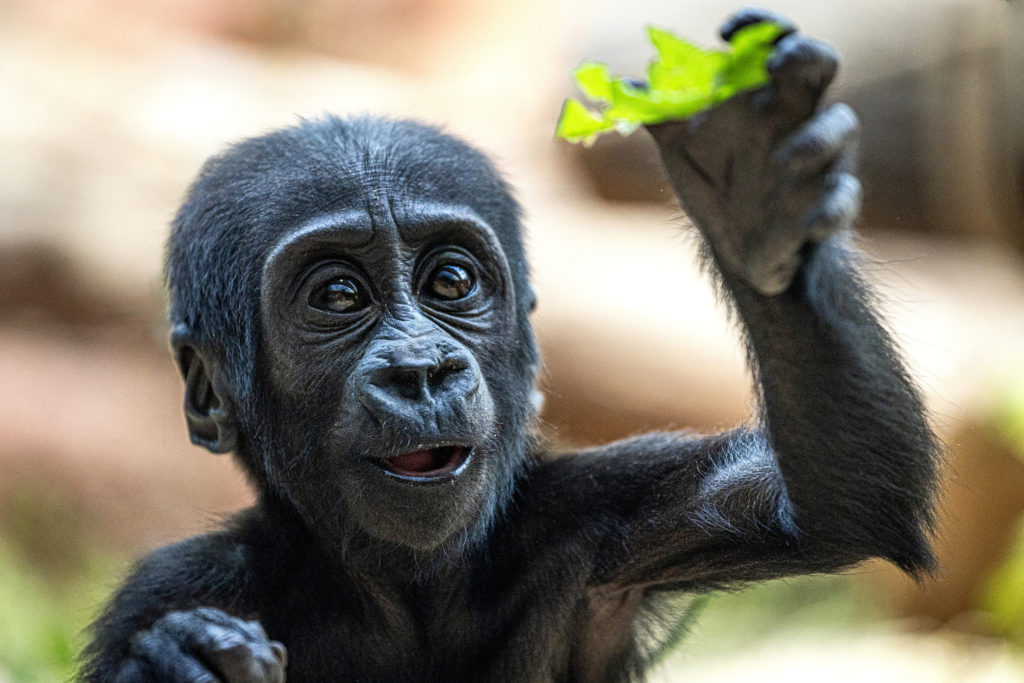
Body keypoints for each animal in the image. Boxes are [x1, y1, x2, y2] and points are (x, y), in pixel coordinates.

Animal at [83, 9, 937, 683]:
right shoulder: (170, 586)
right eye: (338, 296)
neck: (408, 594)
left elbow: (832, 505)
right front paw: (174, 662)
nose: (420, 370)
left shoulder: (611, 513)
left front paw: (750, 187)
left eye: (451, 281)